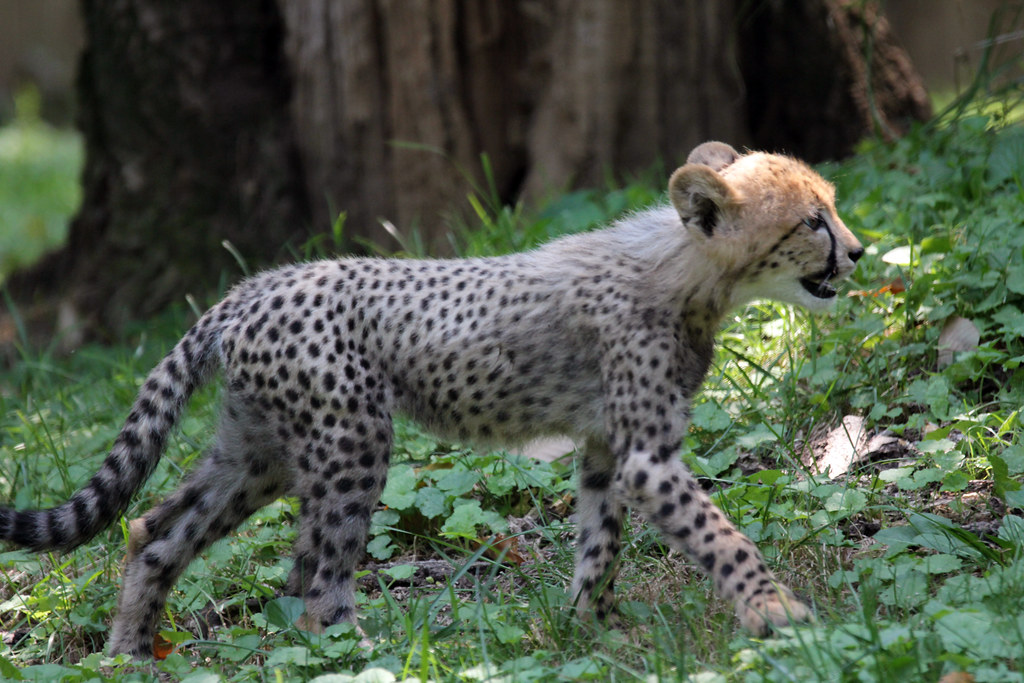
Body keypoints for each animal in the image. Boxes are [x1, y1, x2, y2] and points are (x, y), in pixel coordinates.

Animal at [0, 141, 863, 658]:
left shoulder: (602, 448)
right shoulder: (648, 454)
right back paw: (366, 653)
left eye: (831, 206)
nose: (856, 252)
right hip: (351, 442)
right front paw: (774, 611)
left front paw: (590, 628)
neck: (689, 270)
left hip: (261, 452)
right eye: (811, 221)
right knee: (316, 584)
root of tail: (253, 285)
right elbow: (723, 535)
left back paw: (126, 654)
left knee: (154, 529)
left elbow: (599, 542)